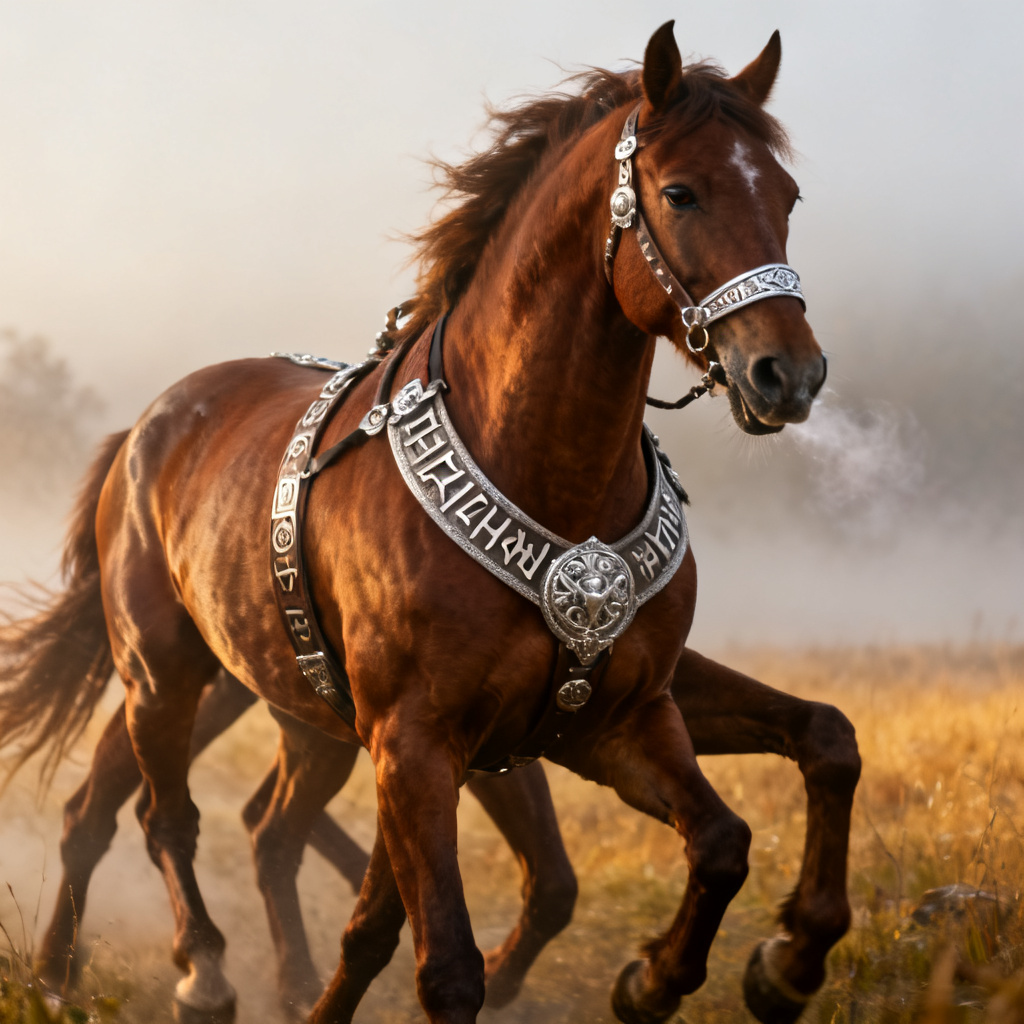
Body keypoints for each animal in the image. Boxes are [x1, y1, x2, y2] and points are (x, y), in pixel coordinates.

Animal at [0, 22, 860, 1024]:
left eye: (787, 196)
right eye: (681, 192)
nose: (787, 373)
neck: (550, 484)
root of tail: (146, 428)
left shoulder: (614, 720)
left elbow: (753, 808)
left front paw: (734, 969)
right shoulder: (418, 746)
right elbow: (444, 961)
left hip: (275, 702)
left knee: (221, 822)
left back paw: (134, 972)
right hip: (162, 671)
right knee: (155, 814)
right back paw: (185, 972)